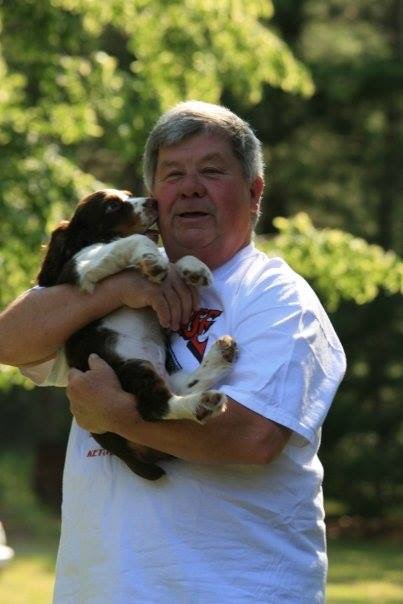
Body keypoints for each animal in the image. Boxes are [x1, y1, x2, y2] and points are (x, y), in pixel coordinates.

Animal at [36, 190, 238, 482]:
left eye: (129, 195)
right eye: (111, 206)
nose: (154, 201)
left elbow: (172, 258)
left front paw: (193, 268)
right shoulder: (82, 267)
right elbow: (134, 241)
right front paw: (153, 260)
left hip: (162, 372)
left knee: (183, 386)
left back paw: (221, 356)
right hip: (132, 366)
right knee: (154, 407)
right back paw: (203, 404)